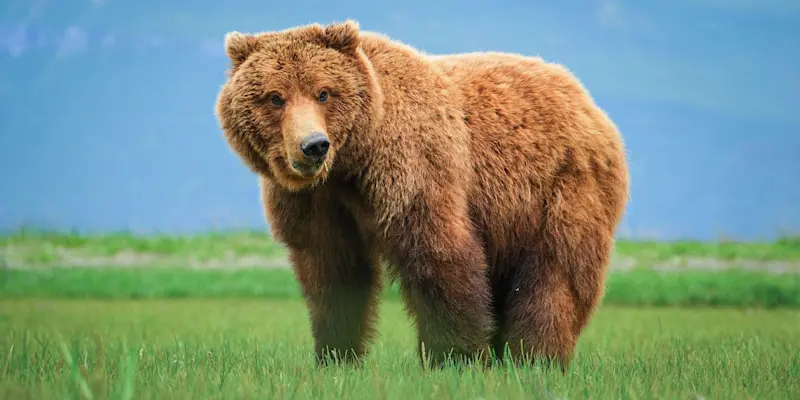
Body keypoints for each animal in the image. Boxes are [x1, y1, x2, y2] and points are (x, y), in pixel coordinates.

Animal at [214, 20, 630, 369]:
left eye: (324, 93)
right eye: (275, 97)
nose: (313, 145)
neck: (351, 162)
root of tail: (585, 98)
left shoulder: (411, 164)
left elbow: (437, 251)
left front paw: (456, 358)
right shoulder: (315, 202)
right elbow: (333, 273)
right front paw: (335, 356)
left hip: (561, 187)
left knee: (555, 275)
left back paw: (535, 358)